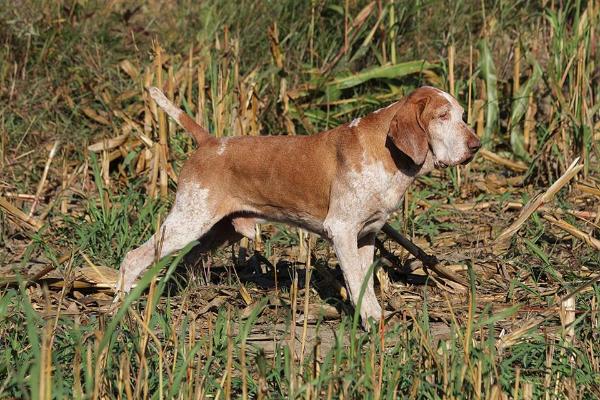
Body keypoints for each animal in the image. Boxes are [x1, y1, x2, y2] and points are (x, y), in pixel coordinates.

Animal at [116, 86, 482, 326]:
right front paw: (368, 320)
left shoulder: (366, 236)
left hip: (215, 231)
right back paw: (123, 309)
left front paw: (374, 319)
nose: (476, 146)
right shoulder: (342, 232)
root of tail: (210, 142)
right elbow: (355, 283)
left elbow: (365, 282)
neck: (387, 153)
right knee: (133, 258)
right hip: (187, 222)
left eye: (463, 115)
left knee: (187, 263)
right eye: (442, 116)